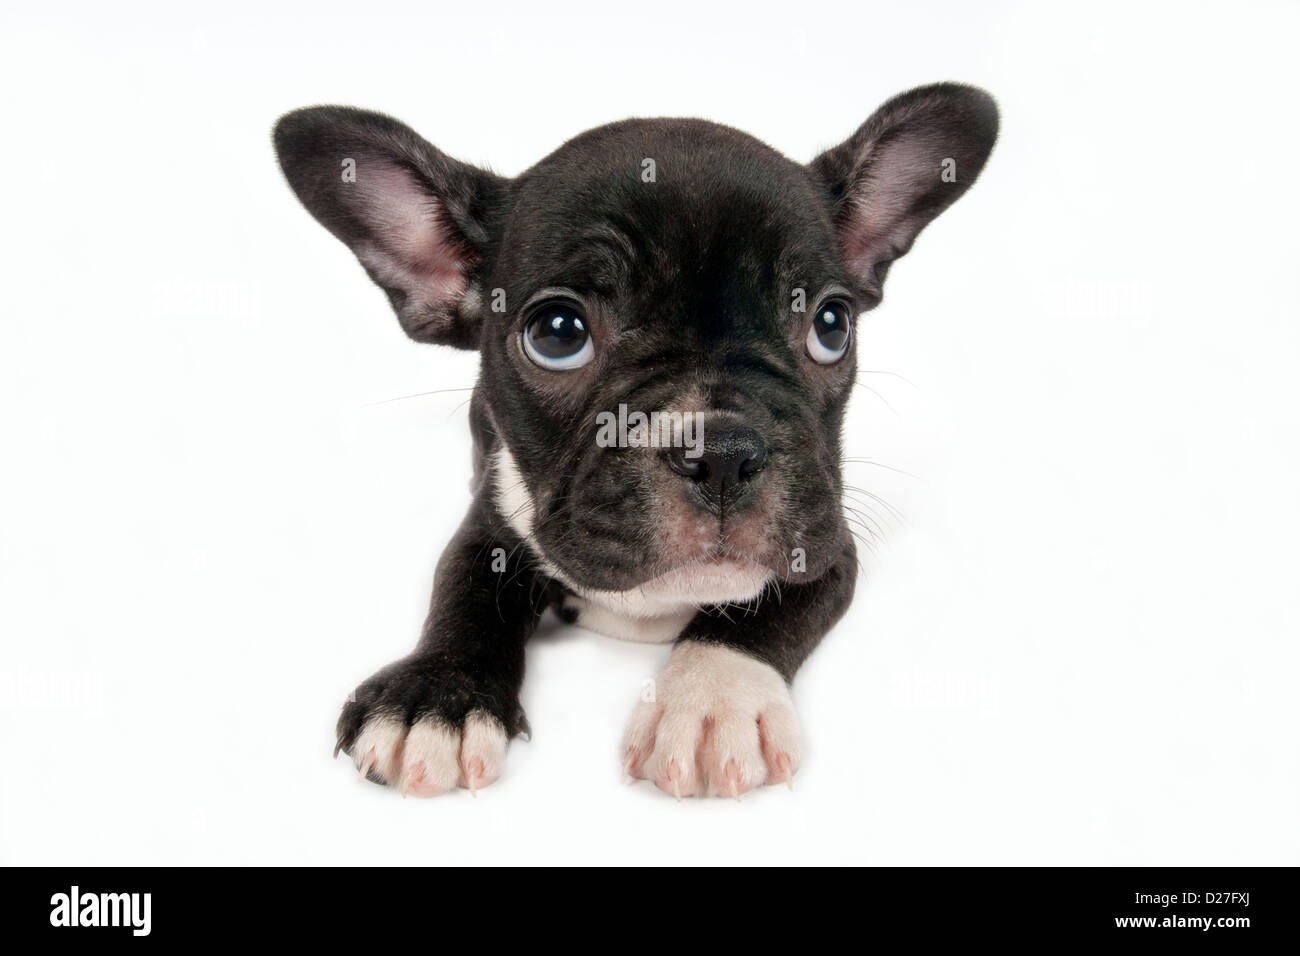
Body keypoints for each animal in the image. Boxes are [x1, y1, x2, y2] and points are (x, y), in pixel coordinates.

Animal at [274, 83, 998, 801]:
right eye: (558, 334)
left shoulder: (825, 543)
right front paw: (437, 696)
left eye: (831, 325)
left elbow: (758, 619)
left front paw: (711, 701)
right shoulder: (490, 523)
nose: (723, 451)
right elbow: (462, 586)